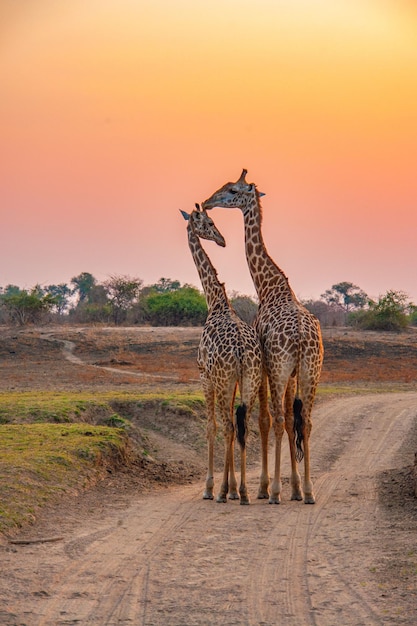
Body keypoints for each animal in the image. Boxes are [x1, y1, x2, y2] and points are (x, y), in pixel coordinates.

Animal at [180, 204, 262, 502]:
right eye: (209, 222)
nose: (222, 240)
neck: (215, 302)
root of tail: (240, 350)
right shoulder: (232, 380)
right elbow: (231, 426)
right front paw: (232, 487)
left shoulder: (205, 376)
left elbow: (211, 427)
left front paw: (210, 487)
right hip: (250, 378)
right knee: (243, 425)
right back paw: (244, 492)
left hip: (225, 380)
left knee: (227, 426)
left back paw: (224, 491)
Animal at [203, 169, 324, 502]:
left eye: (232, 190)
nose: (207, 201)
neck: (268, 286)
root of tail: (302, 337)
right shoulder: (291, 373)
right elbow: (291, 418)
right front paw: (294, 485)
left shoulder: (270, 367)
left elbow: (265, 420)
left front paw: (265, 486)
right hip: (312, 371)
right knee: (306, 421)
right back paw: (308, 490)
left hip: (282, 369)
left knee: (279, 419)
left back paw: (275, 492)